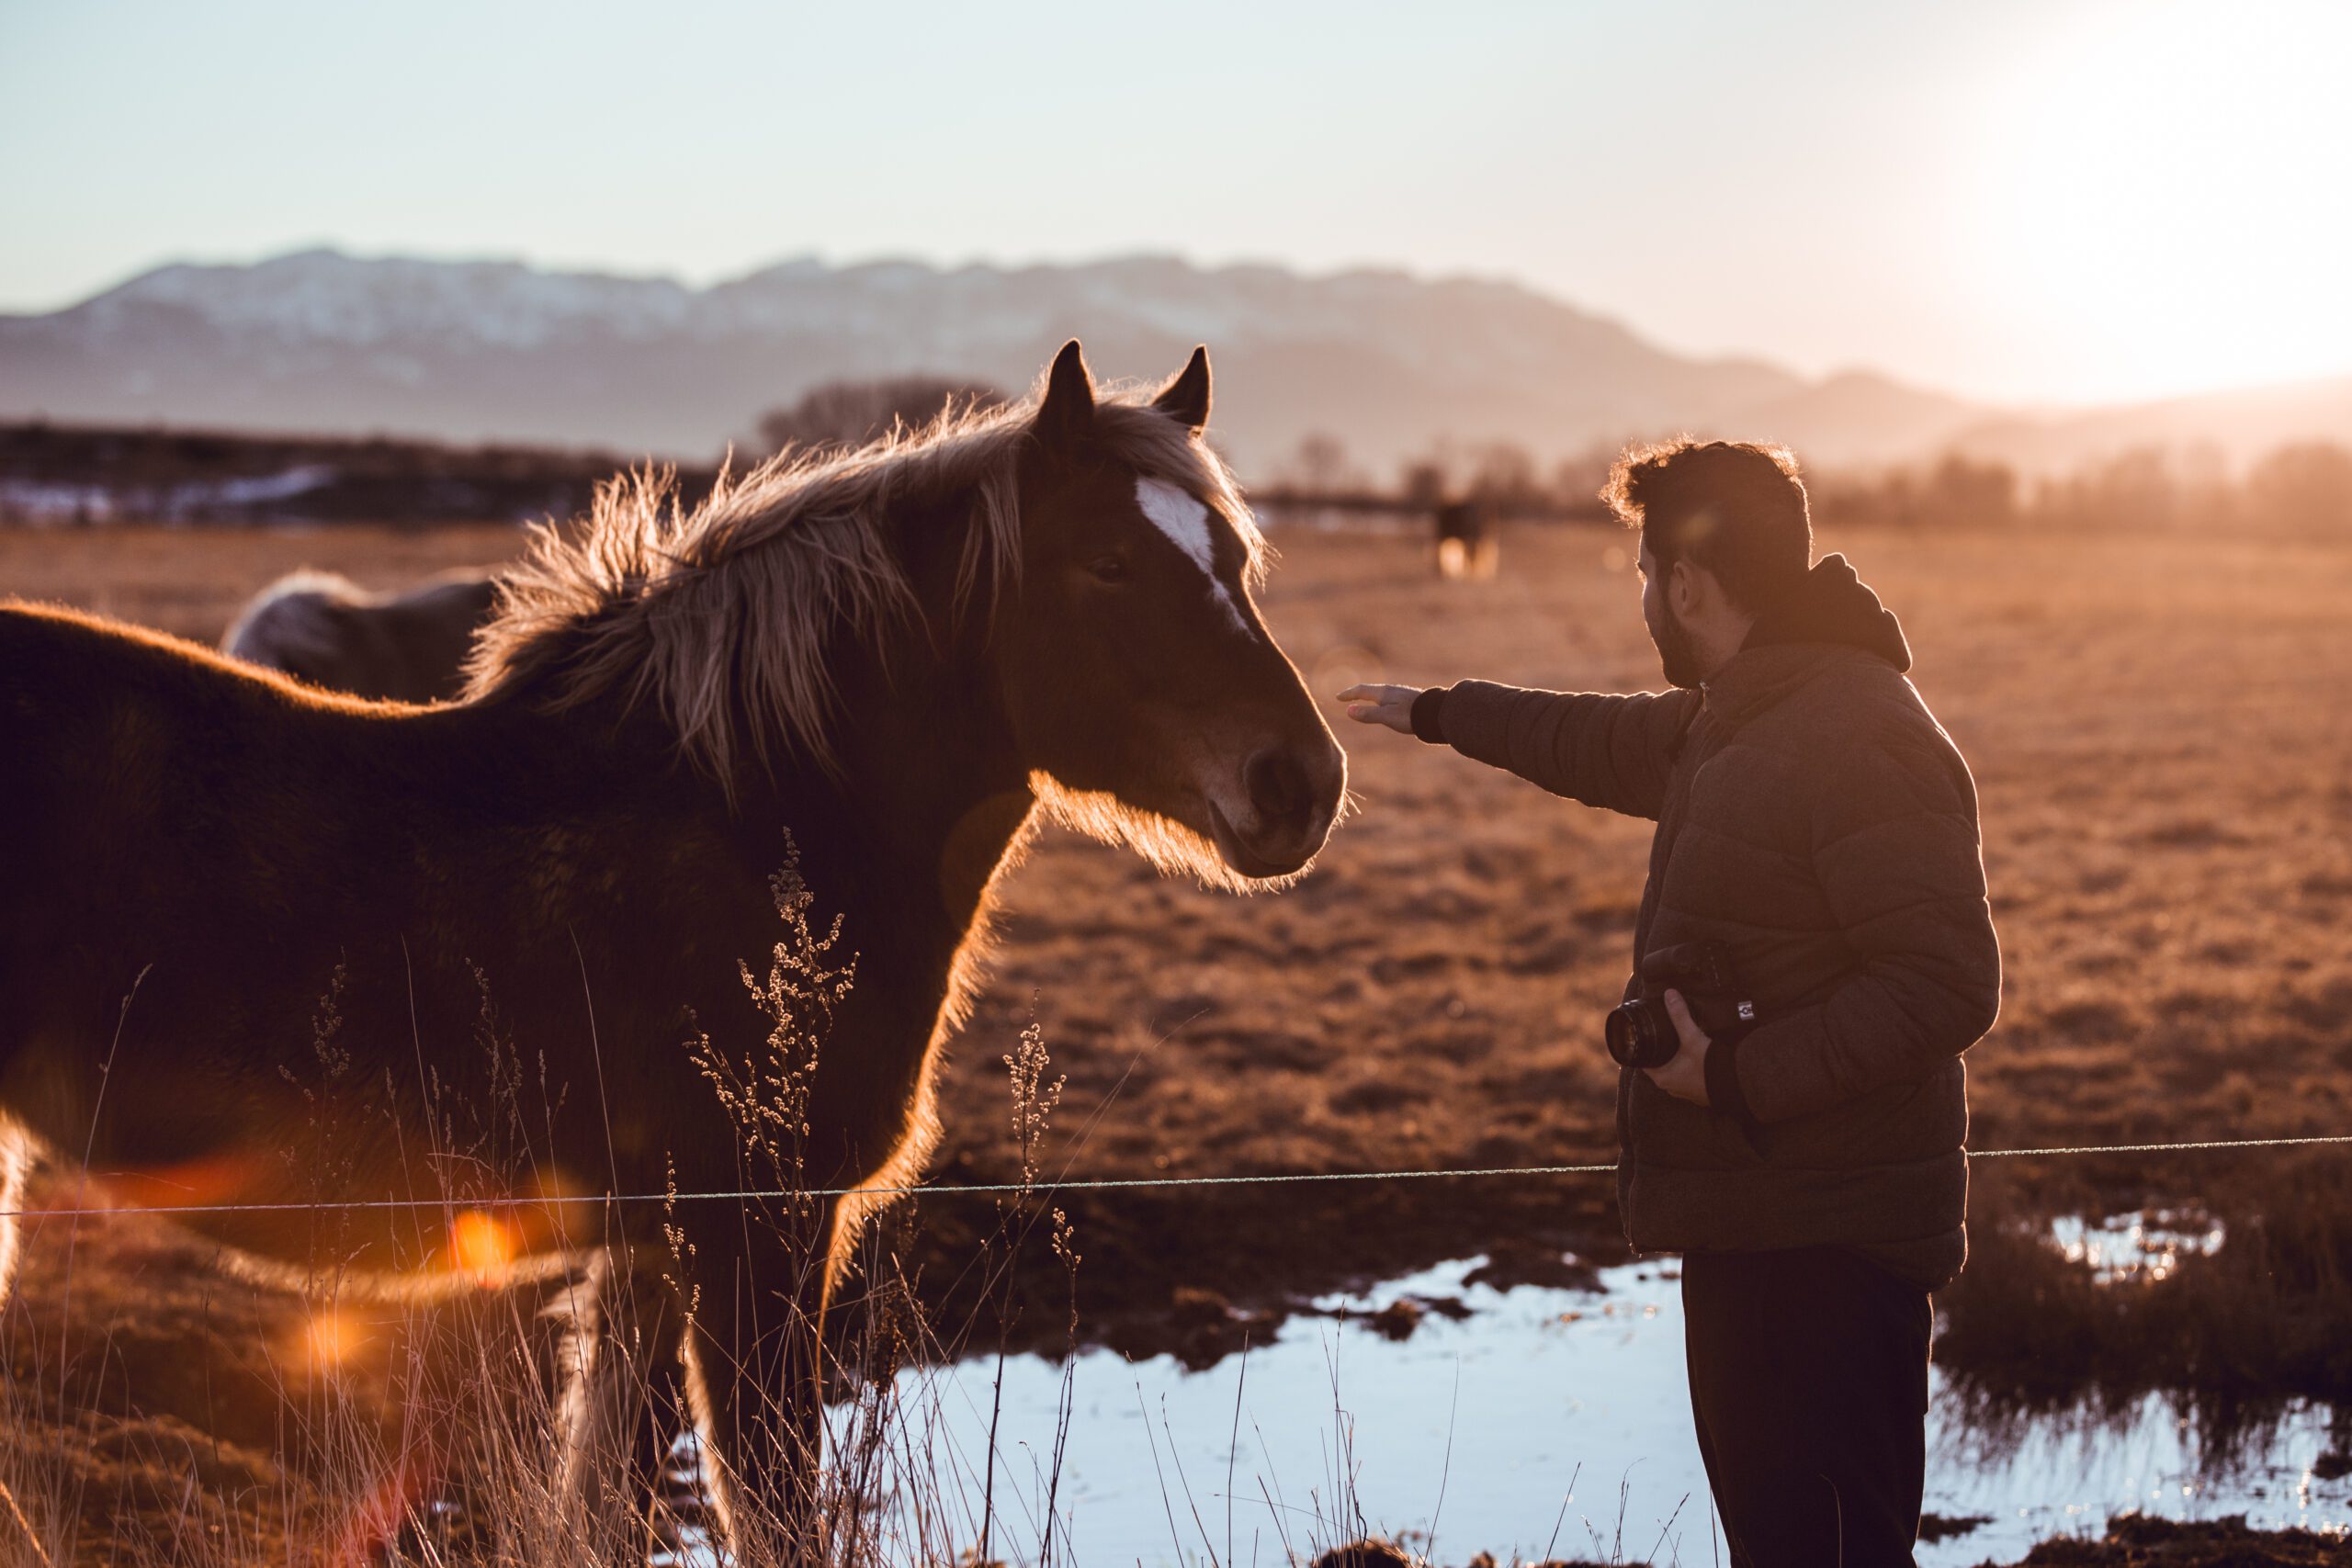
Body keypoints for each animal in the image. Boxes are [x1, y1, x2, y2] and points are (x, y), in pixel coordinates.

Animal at [0, 343, 1354, 1541]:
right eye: (1107, 562)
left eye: (1236, 558)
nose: (1301, 783)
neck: (751, 818)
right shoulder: (752, 1235)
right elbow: (770, 1512)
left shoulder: (653, 1254)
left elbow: (611, 1505)